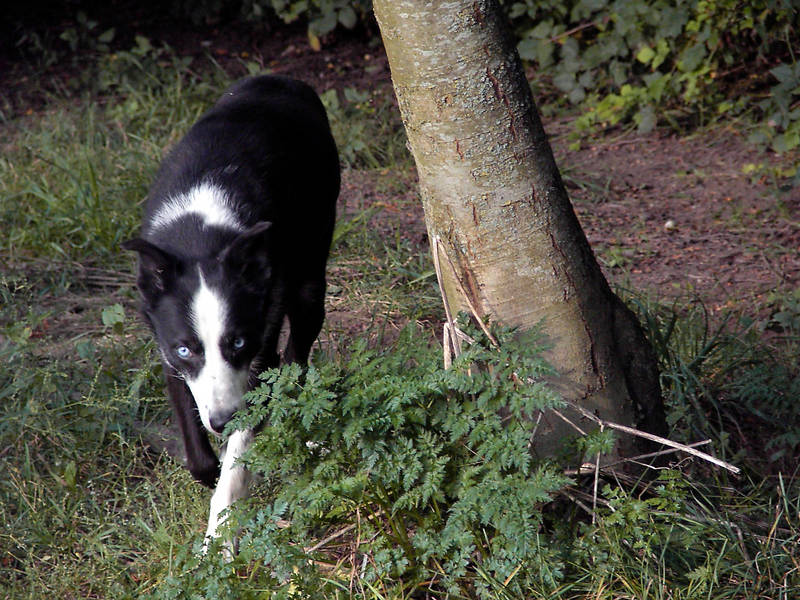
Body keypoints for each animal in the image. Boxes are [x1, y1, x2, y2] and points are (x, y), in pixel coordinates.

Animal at [122, 75, 338, 548]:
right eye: (186, 350)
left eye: (237, 341)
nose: (223, 420)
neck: (200, 236)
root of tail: (280, 80)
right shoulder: (167, 351)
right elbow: (199, 459)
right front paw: (211, 465)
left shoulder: (260, 350)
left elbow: (236, 459)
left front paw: (218, 542)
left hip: (310, 278)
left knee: (298, 353)